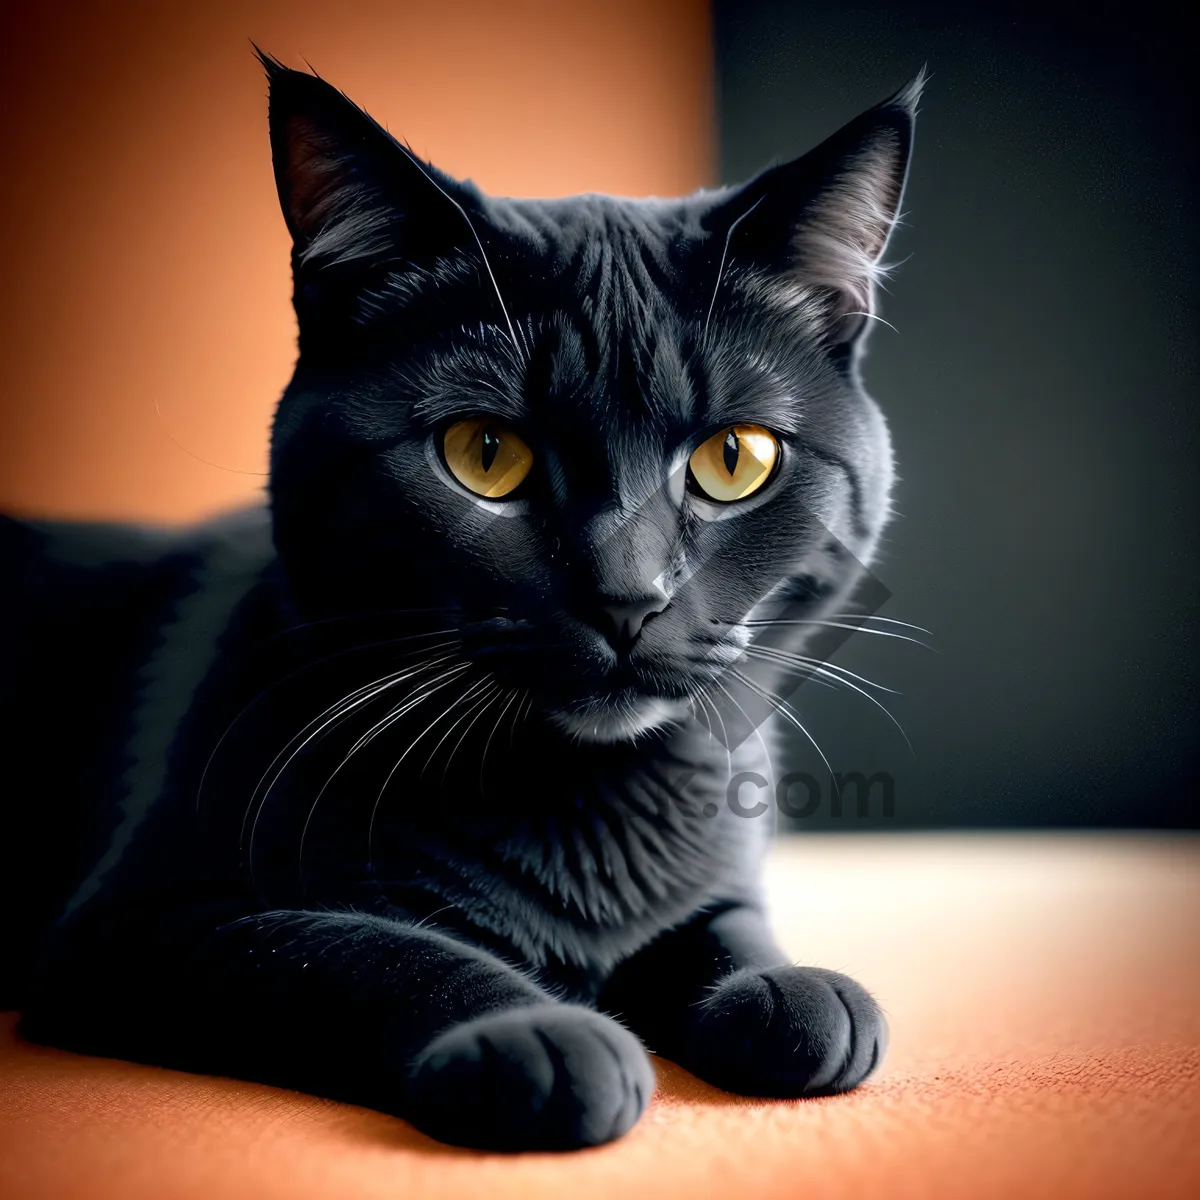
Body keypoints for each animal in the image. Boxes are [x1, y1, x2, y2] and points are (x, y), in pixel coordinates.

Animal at [2, 58, 916, 1152]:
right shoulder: (137, 927)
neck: (582, 798)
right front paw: (533, 1033)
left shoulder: (717, 875)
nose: (627, 596)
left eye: (734, 459)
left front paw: (792, 990)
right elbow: (357, 949)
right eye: (486, 455)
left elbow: (729, 924)